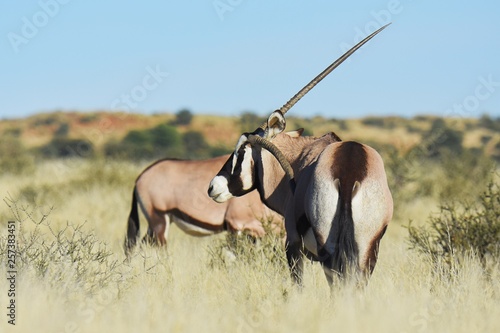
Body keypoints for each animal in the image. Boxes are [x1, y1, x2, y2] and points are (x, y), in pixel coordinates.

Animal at [207, 26, 390, 286]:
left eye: (241, 150)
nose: (213, 187)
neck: (298, 158)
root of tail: (349, 172)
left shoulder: (292, 243)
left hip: (328, 251)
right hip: (367, 251)